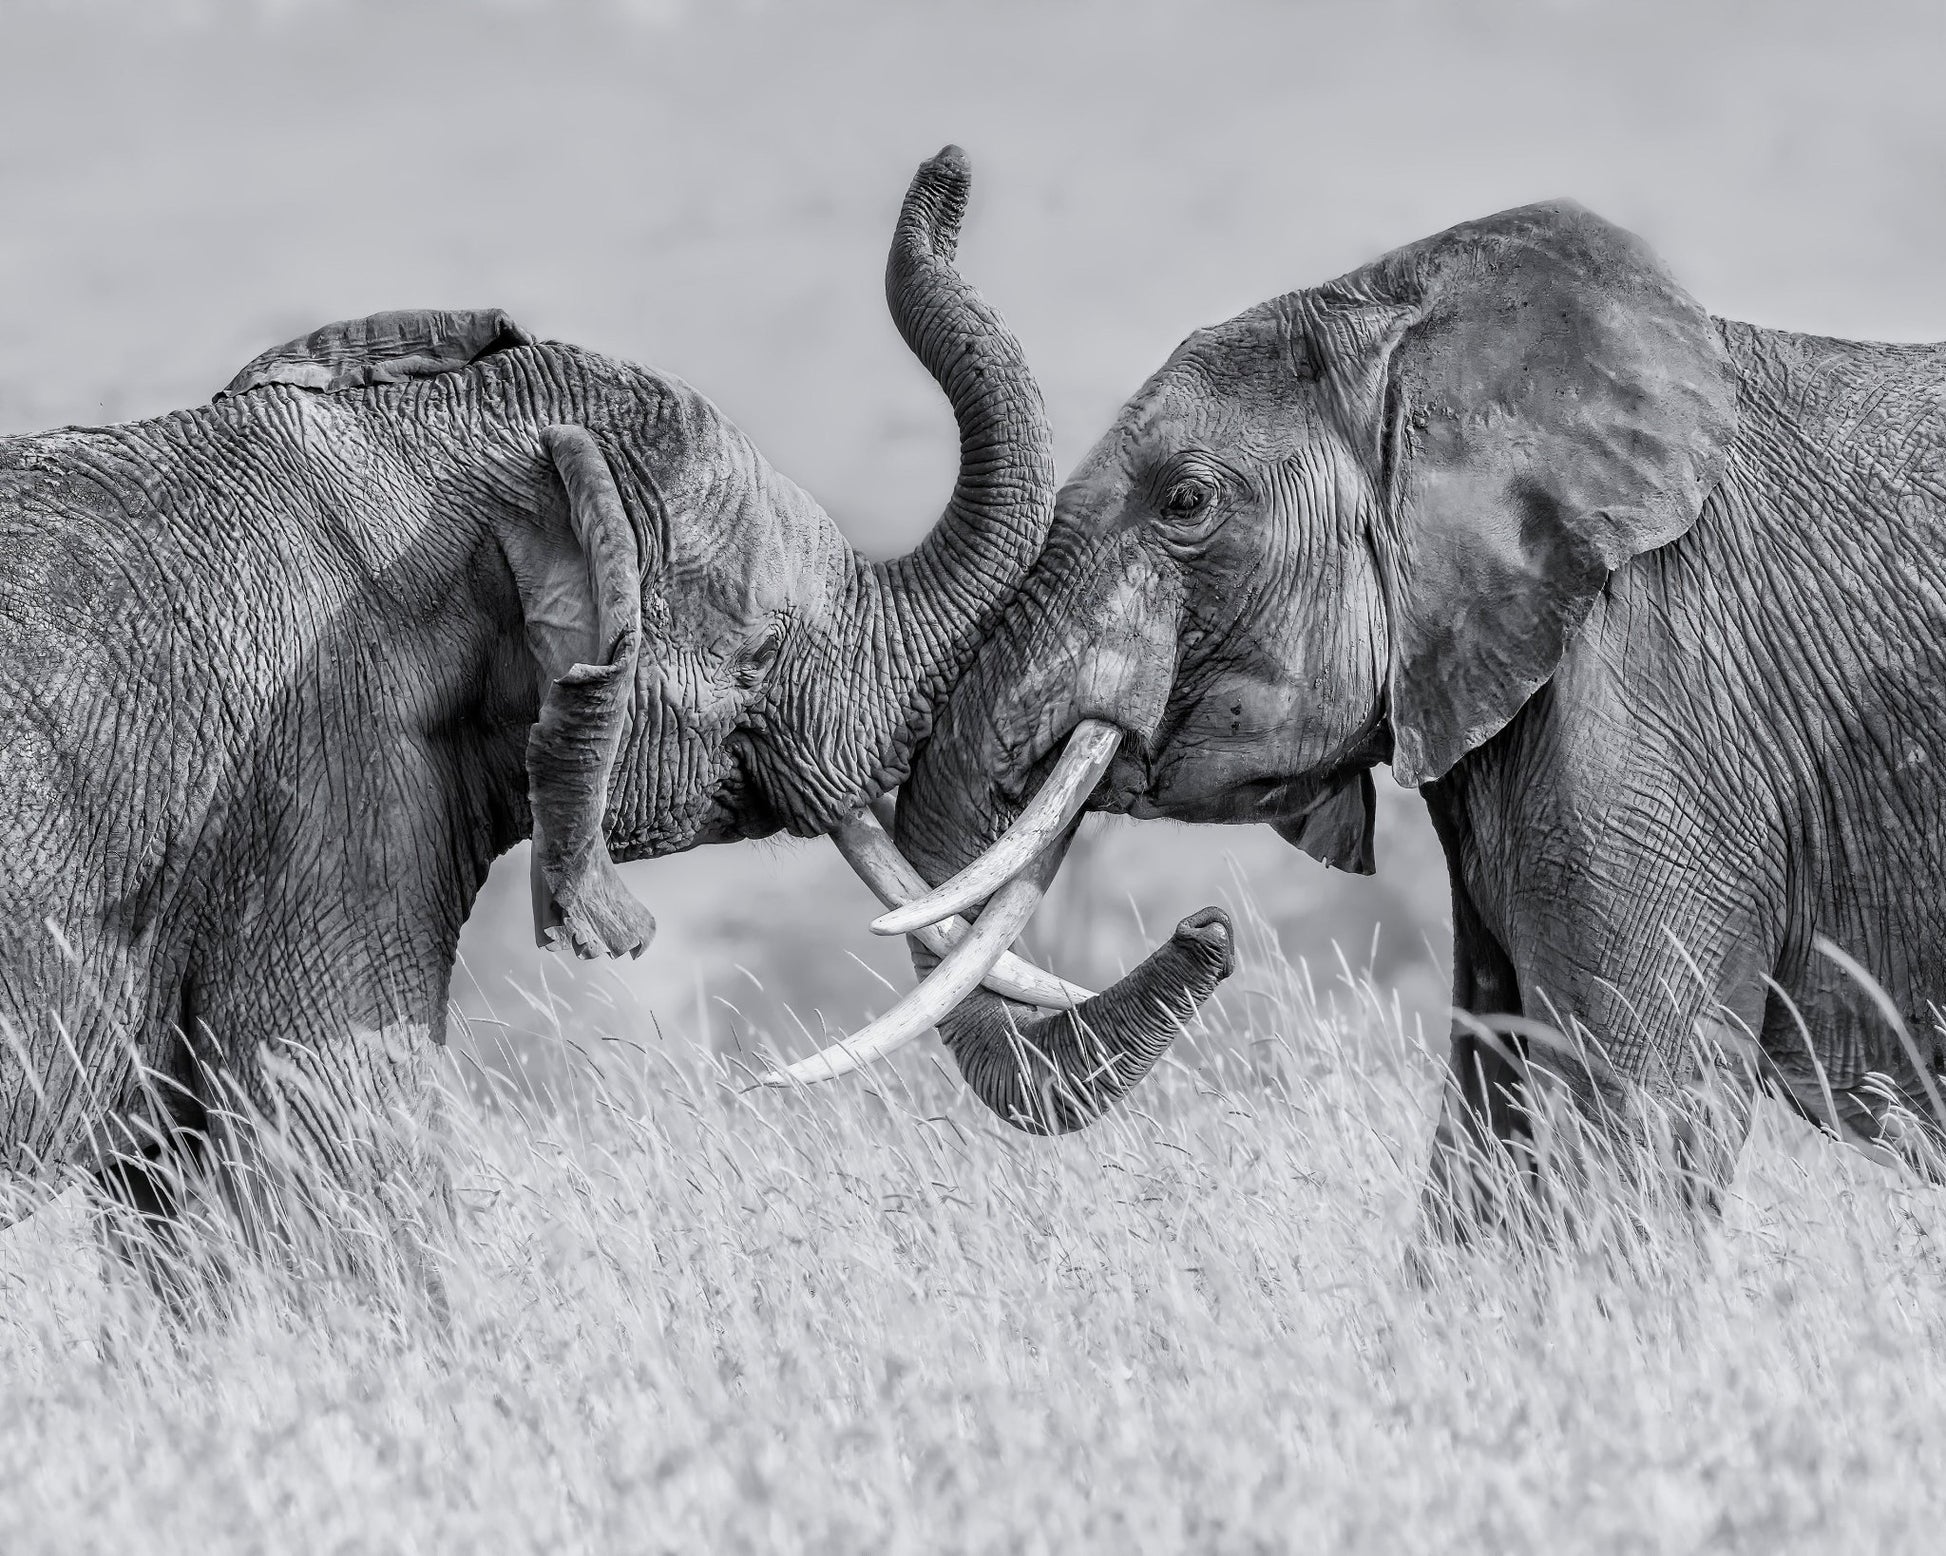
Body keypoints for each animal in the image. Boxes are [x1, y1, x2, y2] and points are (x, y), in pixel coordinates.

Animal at [790, 196, 1946, 1220]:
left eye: (1184, 501)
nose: (1207, 926)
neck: (1416, 327)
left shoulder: (1654, 690)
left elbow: (1632, 1129)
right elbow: (1487, 1131)